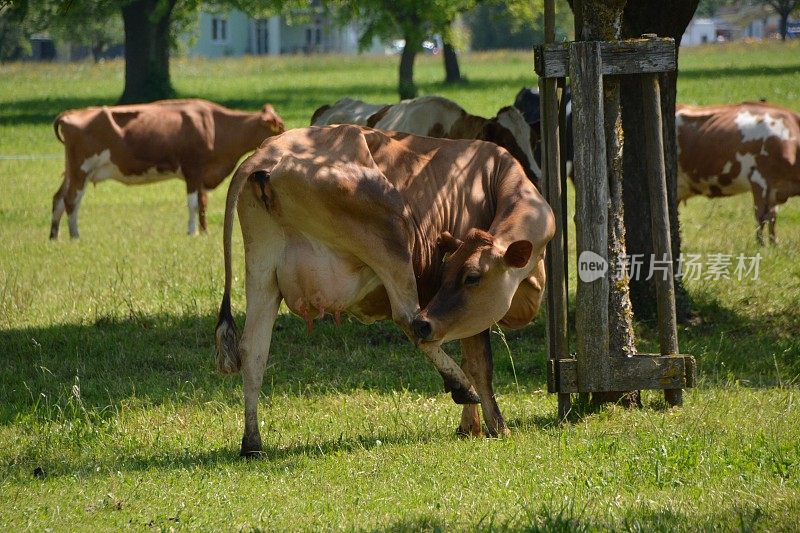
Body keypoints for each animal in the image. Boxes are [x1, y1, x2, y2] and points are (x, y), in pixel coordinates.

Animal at [50, 98, 284, 239]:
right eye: (279, 127)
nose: (286, 138)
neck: (214, 125)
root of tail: (72, 113)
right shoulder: (193, 169)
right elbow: (193, 204)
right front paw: (192, 232)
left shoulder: (202, 174)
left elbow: (203, 203)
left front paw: (205, 231)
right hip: (81, 168)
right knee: (71, 200)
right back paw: (75, 235)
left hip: (72, 170)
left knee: (58, 198)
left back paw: (54, 236)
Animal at [216, 123, 552, 454]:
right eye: (470, 276)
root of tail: (268, 152)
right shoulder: (469, 315)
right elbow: (479, 363)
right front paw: (496, 426)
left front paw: (470, 427)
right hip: (391, 236)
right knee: (408, 318)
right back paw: (460, 386)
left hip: (262, 269)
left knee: (253, 348)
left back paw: (252, 444)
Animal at [676, 101, 800, 244]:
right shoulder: (759, 180)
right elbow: (761, 217)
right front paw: (761, 245)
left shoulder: (776, 190)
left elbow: (772, 218)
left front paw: (774, 245)